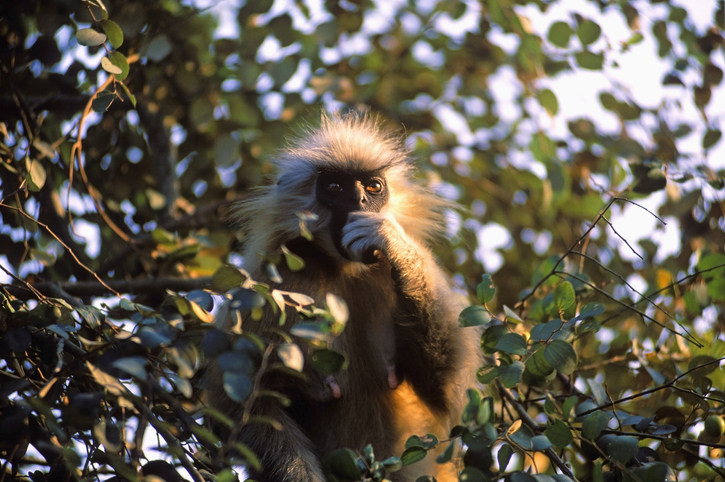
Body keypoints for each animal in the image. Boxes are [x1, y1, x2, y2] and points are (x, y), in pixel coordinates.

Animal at [209, 112, 480, 482]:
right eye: (335, 188)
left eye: (373, 187)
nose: (359, 202)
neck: (343, 270)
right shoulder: (266, 285)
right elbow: (237, 402)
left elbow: (451, 393)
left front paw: (393, 243)